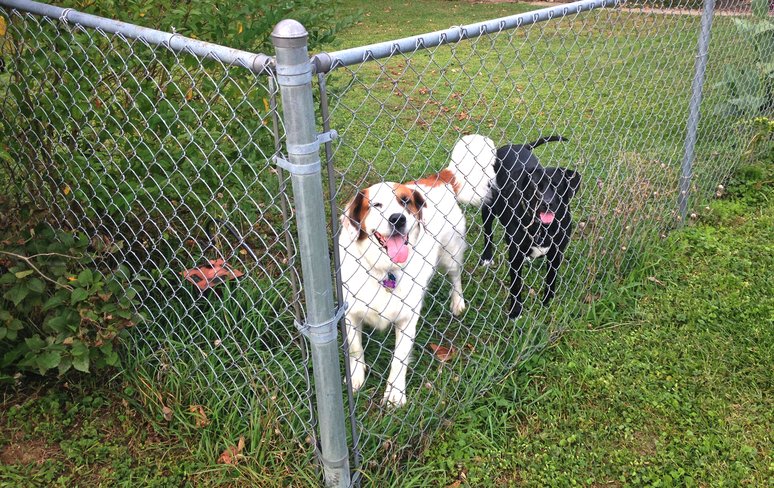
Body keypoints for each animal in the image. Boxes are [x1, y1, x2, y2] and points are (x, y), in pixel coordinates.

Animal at [340, 134, 498, 408]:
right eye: (377, 205)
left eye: (405, 202)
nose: (397, 219)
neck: (384, 269)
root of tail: (438, 178)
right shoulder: (351, 313)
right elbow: (355, 350)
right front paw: (357, 378)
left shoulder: (407, 318)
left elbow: (399, 359)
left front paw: (395, 394)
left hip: (451, 254)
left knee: (456, 277)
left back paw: (457, 303)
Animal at [478, 136, 584, 320]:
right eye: (535, 185)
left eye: (557, 185)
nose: (546, 203)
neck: (542, 227)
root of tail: (516, 146)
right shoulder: (515, 256)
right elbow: (516, 285)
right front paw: (515, 311)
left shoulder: (556, 253)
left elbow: (551, 280)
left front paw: (547, 302)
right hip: (489, 205)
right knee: (488, 233)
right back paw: (486, 256)